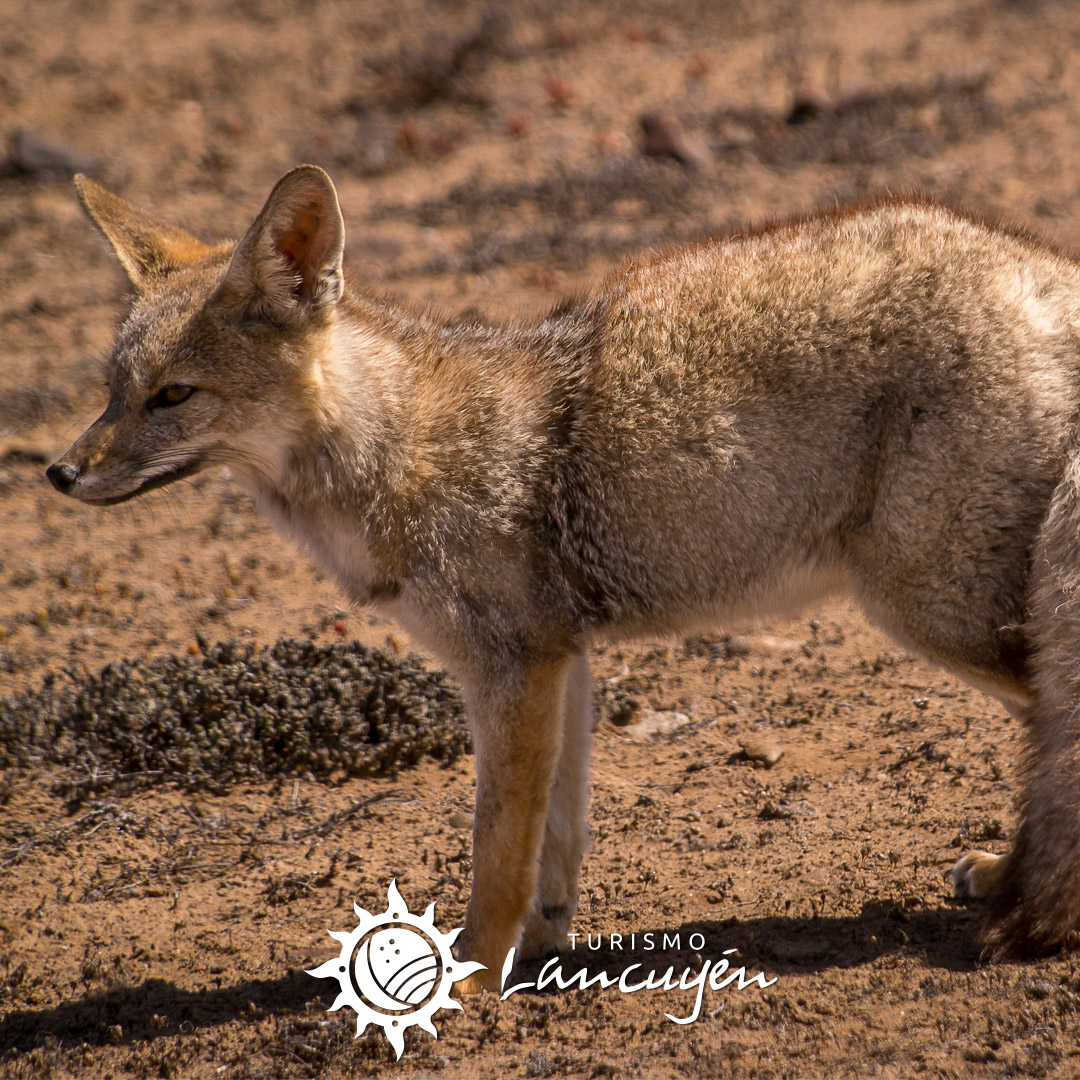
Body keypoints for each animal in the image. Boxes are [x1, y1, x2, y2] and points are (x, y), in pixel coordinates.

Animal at [47, 164, 1080, 989]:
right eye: (111, 391)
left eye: (174, 396)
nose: (58, 473)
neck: (395, 451)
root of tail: (1047, 271)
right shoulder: (560, 661)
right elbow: (556, 840)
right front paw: (536, 951)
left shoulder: (512, 668)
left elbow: (497, 849)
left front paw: (463, 973)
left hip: (932, 611)